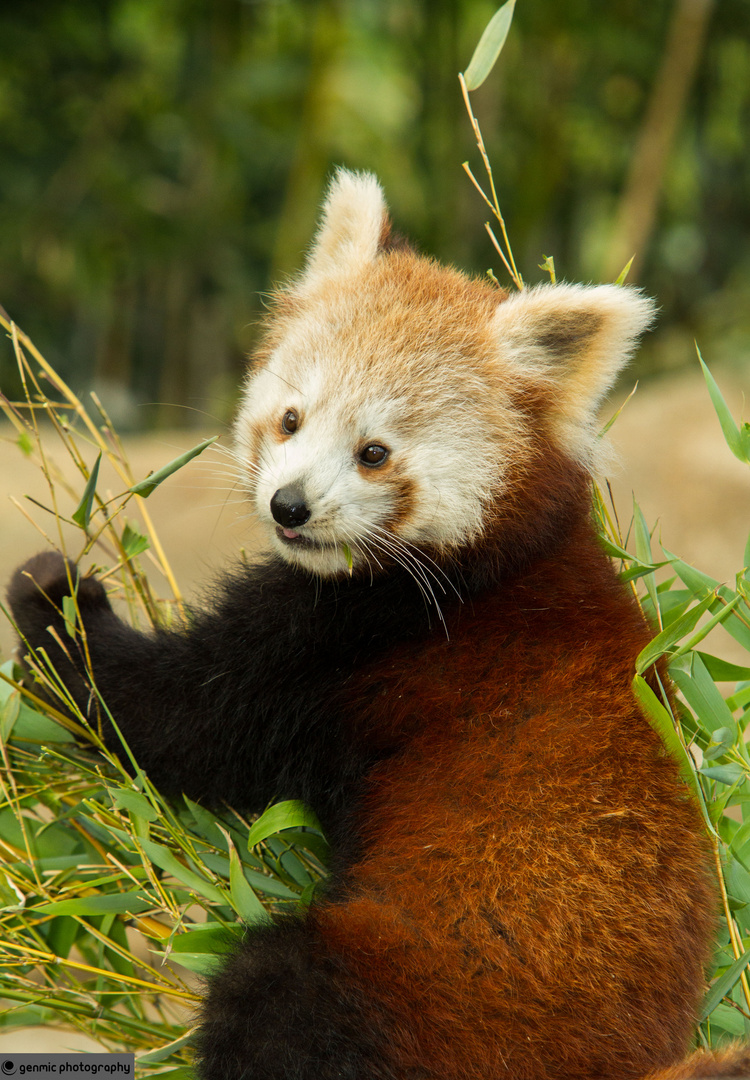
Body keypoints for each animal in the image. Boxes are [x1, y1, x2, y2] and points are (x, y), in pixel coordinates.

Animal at [5, 170, 739, 1080]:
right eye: (290, 419)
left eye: (374, 453)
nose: (289, 506)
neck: (489, 562)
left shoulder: (350, 640)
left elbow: (171, 716)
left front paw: (54, 601)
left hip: (422, 988)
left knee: (276, 987)